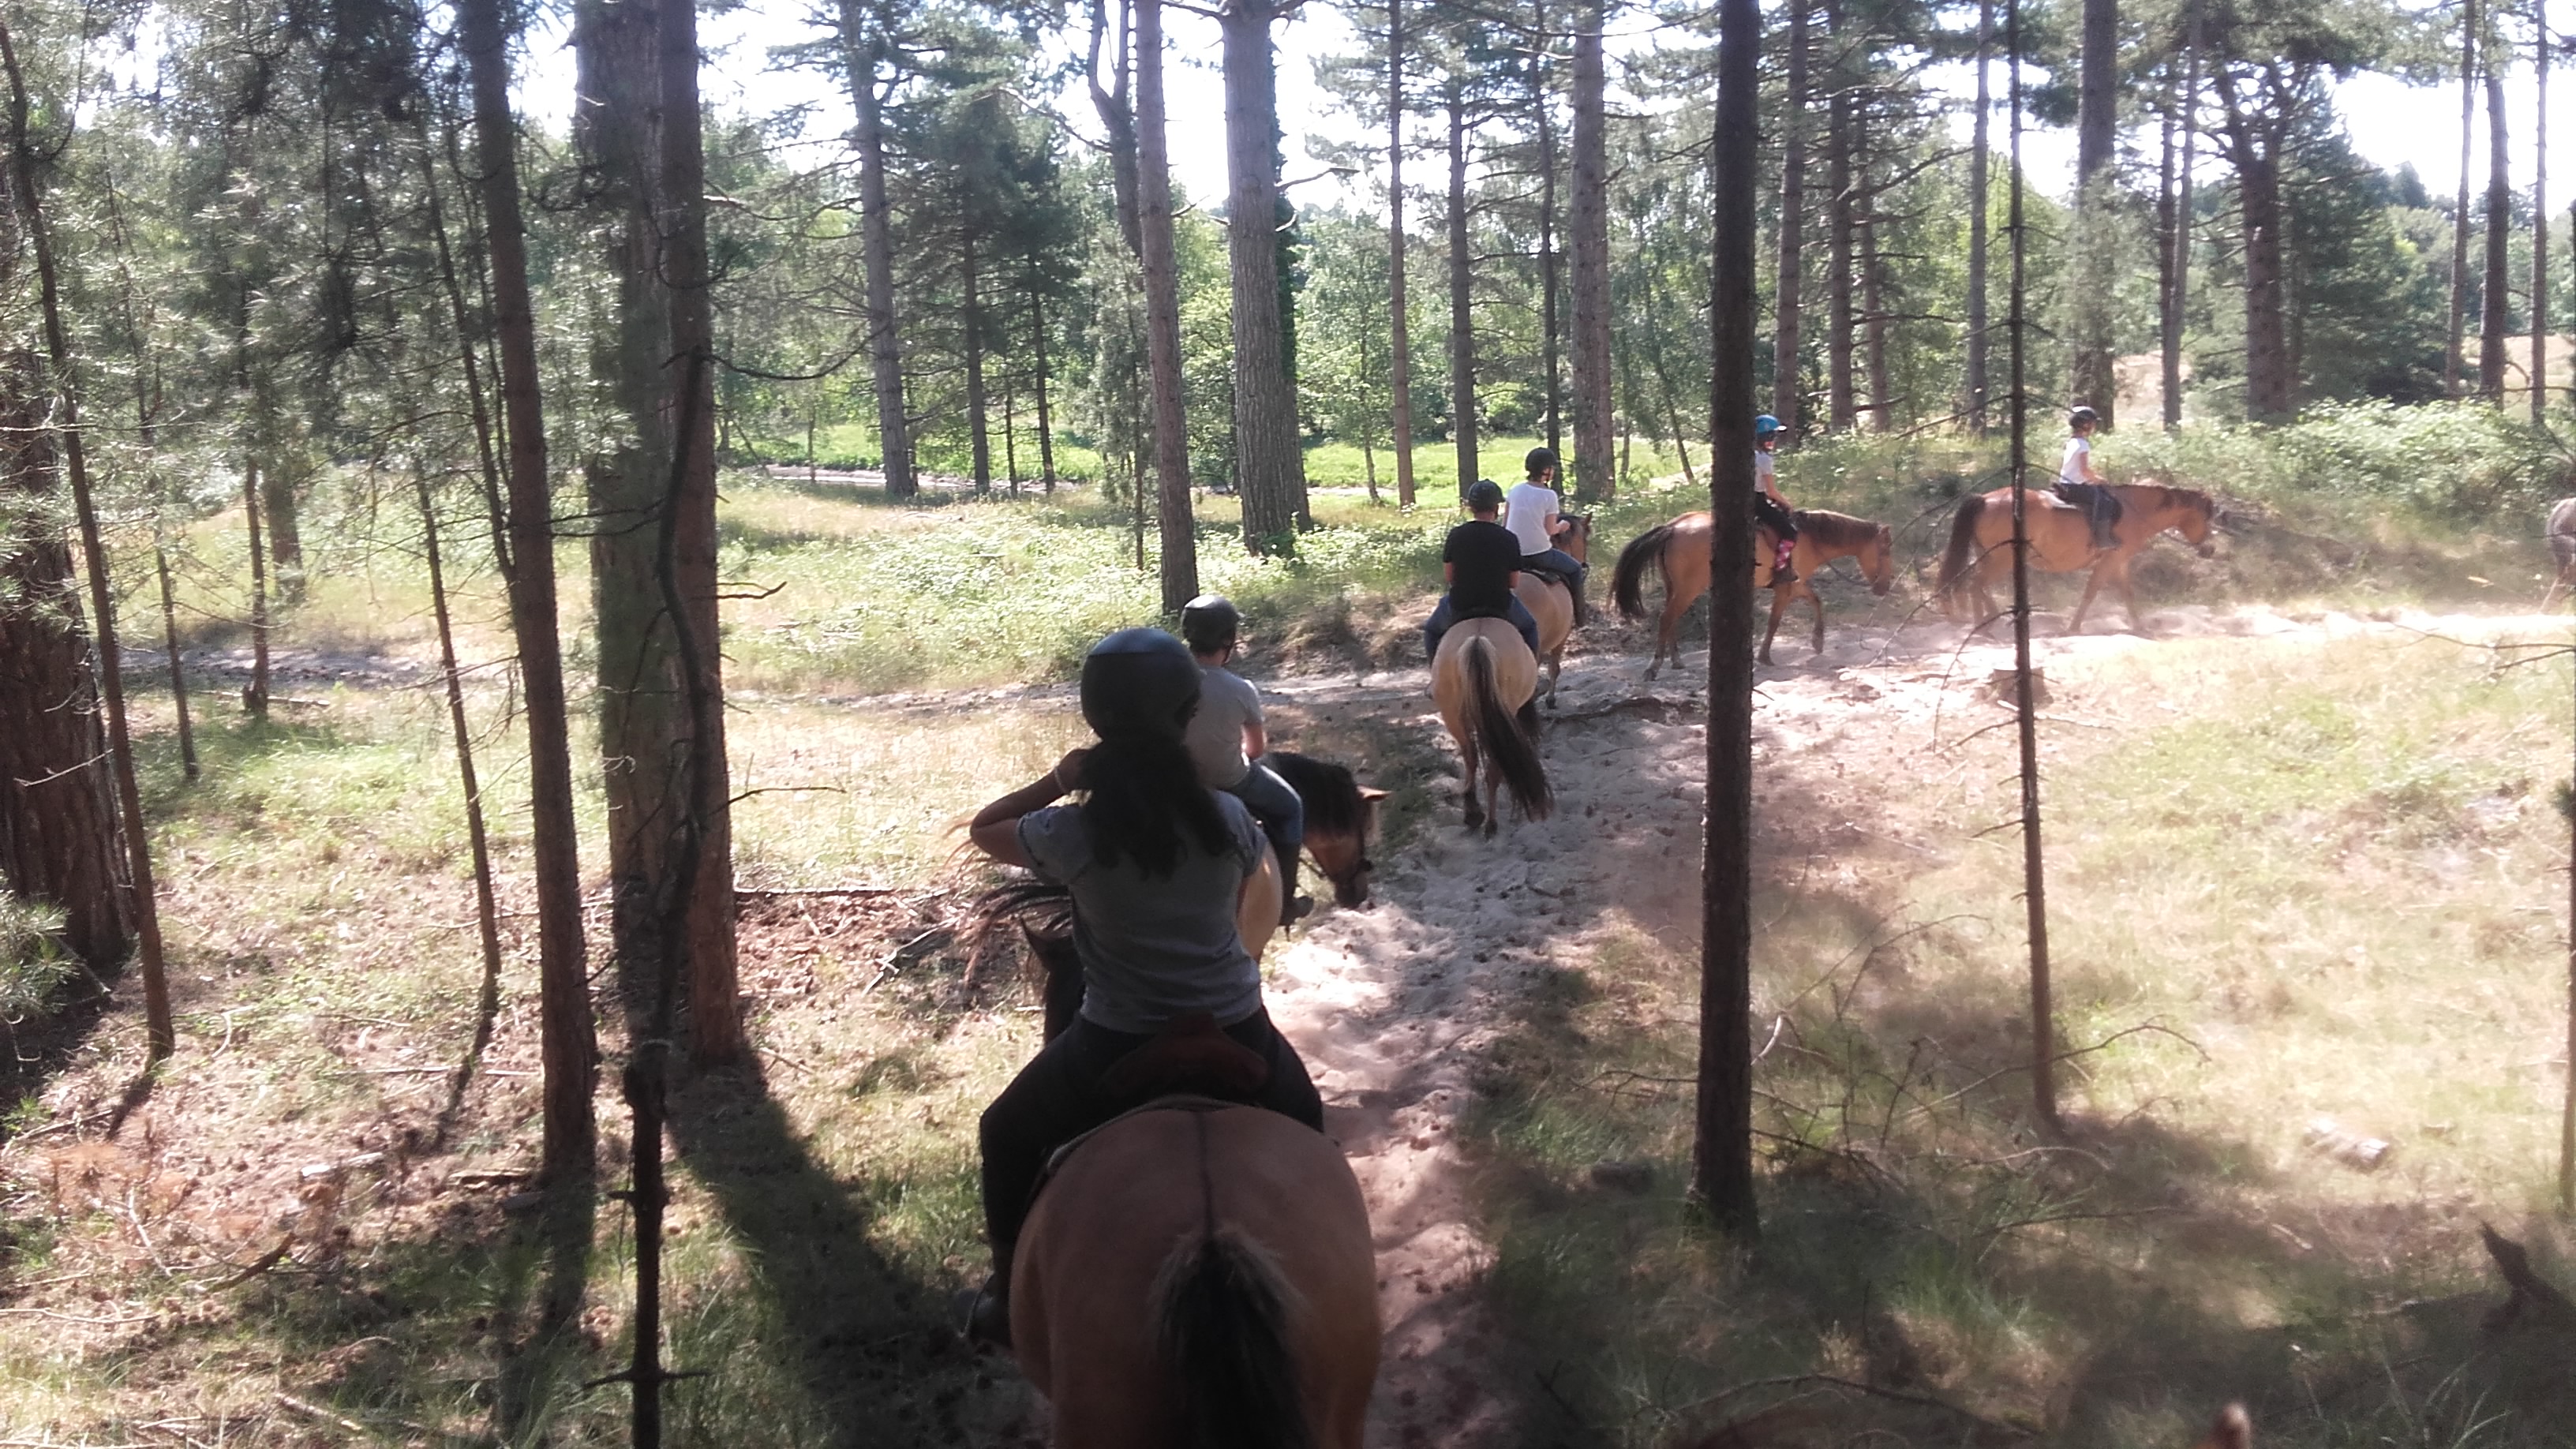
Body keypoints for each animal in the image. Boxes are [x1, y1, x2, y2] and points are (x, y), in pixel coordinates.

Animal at [1430, 618, 1553, 834]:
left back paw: (1473, 811)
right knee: (1492, 766)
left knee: (1470, 755)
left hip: (1452, 714)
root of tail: (1477, 640)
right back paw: (1491, 822)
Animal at [1610, 508, 1898, 677]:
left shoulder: (1796, 584)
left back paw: (1677, 661)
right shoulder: (1786, 587)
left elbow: (1816, 601)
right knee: (1667, 618)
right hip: (1688, 589)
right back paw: (1654, 666)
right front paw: (1765, 656)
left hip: (1676, 587)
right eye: (1885, 552)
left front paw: (1817, 641)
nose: (1883, 587)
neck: (1810, 538)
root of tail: (1673, 528)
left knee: (1671, 619)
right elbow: (1774, 621)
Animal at [1933, 482, 2217, 634]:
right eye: (2206, 516)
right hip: (2002, 558)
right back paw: (1985, 622)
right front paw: (2074, 627)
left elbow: (2127, 594)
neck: (2133, 511)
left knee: (1975, 585)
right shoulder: (2110, 561)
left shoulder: (2119, 562)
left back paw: (1985, 621)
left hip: (1988, 555)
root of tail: (1985, 499)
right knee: (1977, 584)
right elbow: (2091, 592)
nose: (2210, 550)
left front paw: (2139, 626)